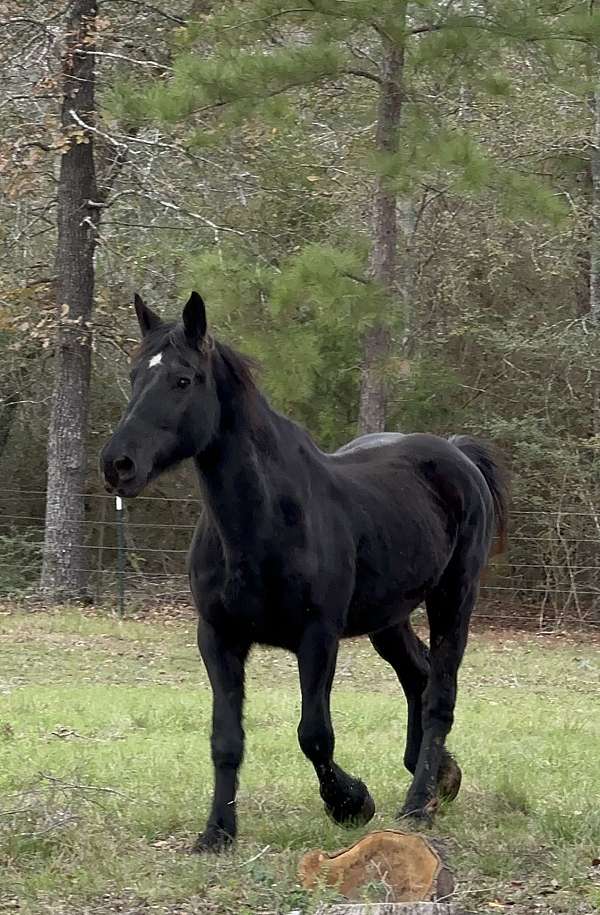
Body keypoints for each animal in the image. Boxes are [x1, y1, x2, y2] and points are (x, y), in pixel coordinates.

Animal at [101, 292, 508, 852]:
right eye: (135, 374)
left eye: (183, 380)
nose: (118, 464)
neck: (264, 522)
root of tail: (458, 455)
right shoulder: (218, 637)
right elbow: (226, 740)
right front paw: (217, 833)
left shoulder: (319, 636)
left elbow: (314, 734)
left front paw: (352, 804)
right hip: (388, 619)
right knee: (418, 675)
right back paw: (440, 778)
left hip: (454, 597)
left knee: (439, 695)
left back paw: (417, 804)